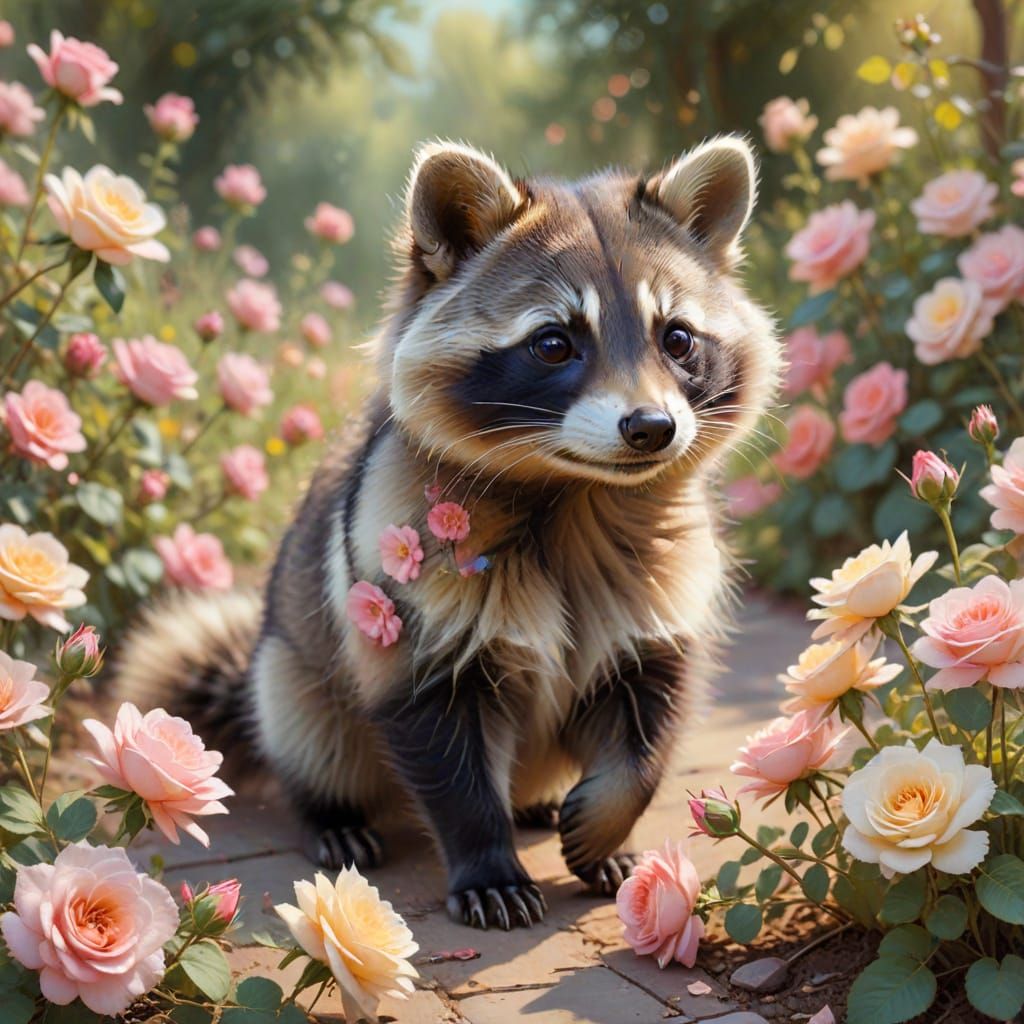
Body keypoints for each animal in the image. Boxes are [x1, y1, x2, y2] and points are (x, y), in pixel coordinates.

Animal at [113, 137, 781, 931]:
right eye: (553, 343)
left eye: (677, 338)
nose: (652, 428)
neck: (576, 489)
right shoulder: (401, 579)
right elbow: (438, 738)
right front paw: (485, 859)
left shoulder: (664, 585)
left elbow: (648, 721)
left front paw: (610, 817)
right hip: (292, 669)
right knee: (308, 727)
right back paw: (331, 812)